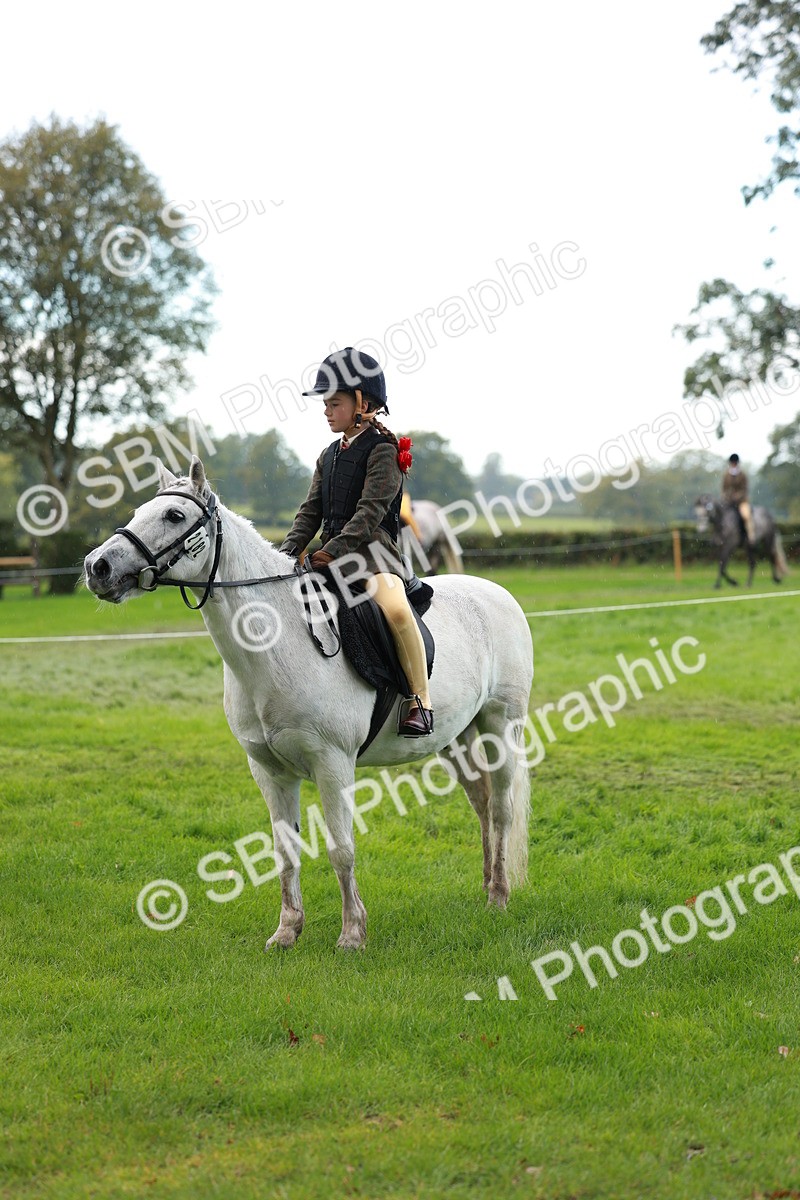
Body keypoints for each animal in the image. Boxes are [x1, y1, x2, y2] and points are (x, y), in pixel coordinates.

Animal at [84, 457, 533, 951]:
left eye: (174, 516)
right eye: (141, 511)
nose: (97, 566)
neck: (276, 638)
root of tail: (498, 593)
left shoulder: (332, 764)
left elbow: (341, 849)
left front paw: (352, 934)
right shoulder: (269, 771)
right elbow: (284, 852)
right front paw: (287, 931)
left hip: (501, 725)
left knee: (502, 806)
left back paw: (499, 897)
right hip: (458, 737)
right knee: (483, 803)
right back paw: (488, 887)